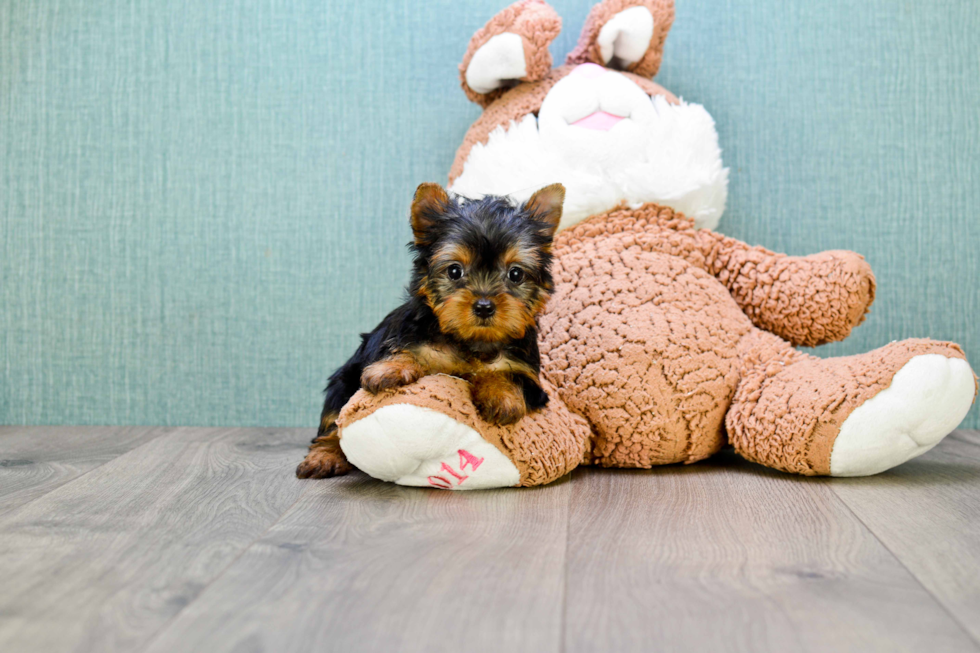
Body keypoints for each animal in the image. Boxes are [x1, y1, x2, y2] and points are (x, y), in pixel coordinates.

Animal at [294, 181, 564, 476]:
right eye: (455, 271)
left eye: (515, 274)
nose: (484, 306)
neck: (471, 341)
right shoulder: (411, 338)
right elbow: (408, 351)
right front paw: (390, 369)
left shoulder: (530, 378)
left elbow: (509, 375)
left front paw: (500, 395)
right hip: (342, 382)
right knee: (333, 423)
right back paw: (324, 456)